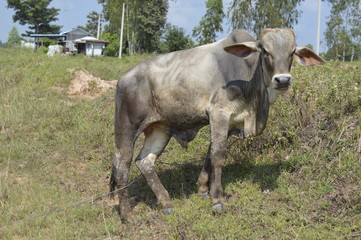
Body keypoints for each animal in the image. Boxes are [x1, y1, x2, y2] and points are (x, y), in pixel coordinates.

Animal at [109, 28, 324, 219]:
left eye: (292, 51)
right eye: (265, 50)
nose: (283, 80)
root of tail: (124, 77)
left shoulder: (227, 123)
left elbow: (210, 155)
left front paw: (204, 189)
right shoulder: (219, 113)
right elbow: (219, 156)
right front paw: (217, 200)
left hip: (159, 129)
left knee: (145, 161)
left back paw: (166, 203)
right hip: (126, 126)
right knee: (122, 165)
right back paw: (127, 215)